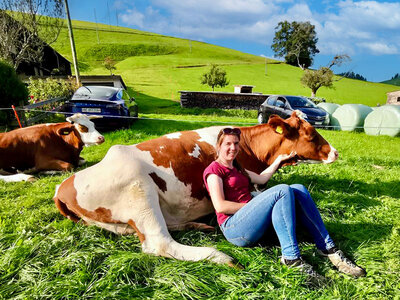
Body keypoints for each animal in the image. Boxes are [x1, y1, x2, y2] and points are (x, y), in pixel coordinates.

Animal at [53, 112, 338, 264]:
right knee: (160, 243)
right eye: (311, 134)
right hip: (139, 190)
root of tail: (62, 186)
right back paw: (218, 256)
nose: (335, 152)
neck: (250, 148)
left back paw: (197, 225)